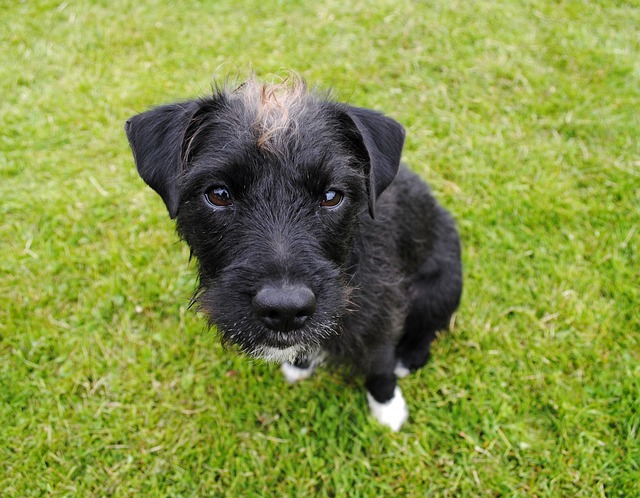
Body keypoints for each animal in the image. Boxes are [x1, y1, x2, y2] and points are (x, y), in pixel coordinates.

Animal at [126, 76, 464, 430]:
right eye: (218, 194)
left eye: (331, 196)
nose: (285, 310)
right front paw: (300, 364)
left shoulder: (383, 314)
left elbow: (380, 361)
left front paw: (387, 406)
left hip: (438, 290)